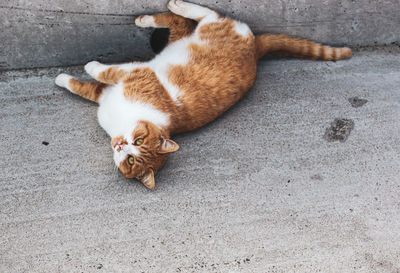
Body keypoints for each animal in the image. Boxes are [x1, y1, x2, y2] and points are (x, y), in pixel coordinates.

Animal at [54, 0, 352, 188]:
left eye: (132, 156)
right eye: (135, 143)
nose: (119, 145)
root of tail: (256, 51)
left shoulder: (133, 75)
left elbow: (102, 74)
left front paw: (82, 69)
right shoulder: (123, 82)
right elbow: (89, 84)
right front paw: (66, 78)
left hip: (211, 29)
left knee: (204, 17)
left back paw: (168, 9)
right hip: (189, 37)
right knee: (186, 20)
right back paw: (153, 15)